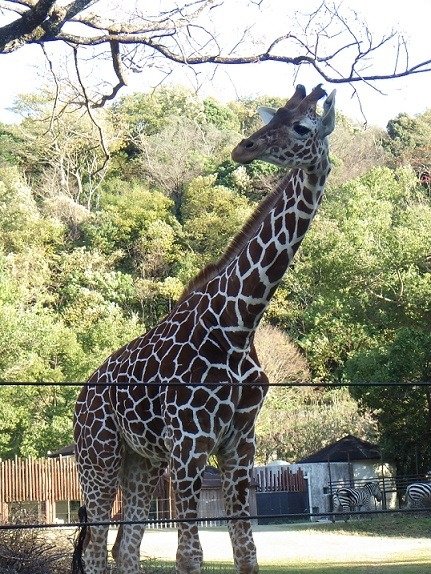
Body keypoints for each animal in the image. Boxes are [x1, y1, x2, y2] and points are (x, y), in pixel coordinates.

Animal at [72, 84, 338, 574]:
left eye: (300, 126)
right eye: (274, 117)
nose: (244, 147)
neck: (240, 322)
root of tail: (80, 398)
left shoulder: (239, 445)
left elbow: (245, 550)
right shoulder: (190, 444)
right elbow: (189, 555)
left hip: (142, 462)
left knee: (124, 547)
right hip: (98, 456)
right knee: (97, 550)